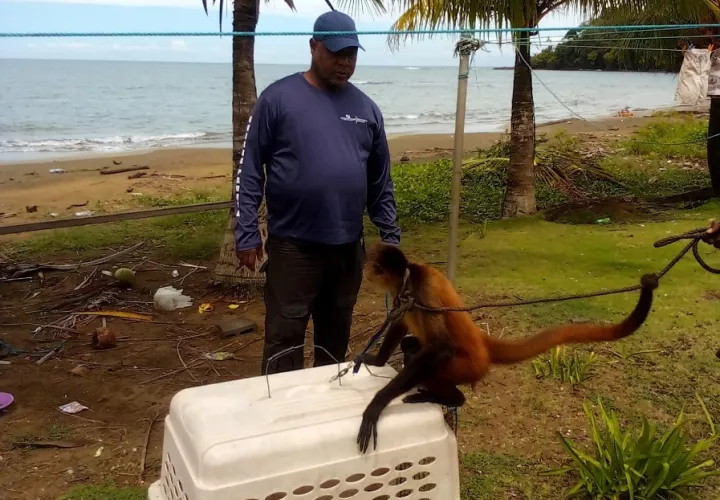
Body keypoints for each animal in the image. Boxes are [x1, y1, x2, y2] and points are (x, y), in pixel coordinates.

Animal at [355, 242, 659, 454]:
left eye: (369, 265)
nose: (364, 271)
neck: (409, 279)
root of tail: (483, 342)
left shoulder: (424, 291)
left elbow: (441, 347)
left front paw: (377, 403)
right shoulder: (401, 295)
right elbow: (399, 325)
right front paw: (377, 359)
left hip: (464, 367)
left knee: (424, 358)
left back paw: (452, 398)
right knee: (410, 345)